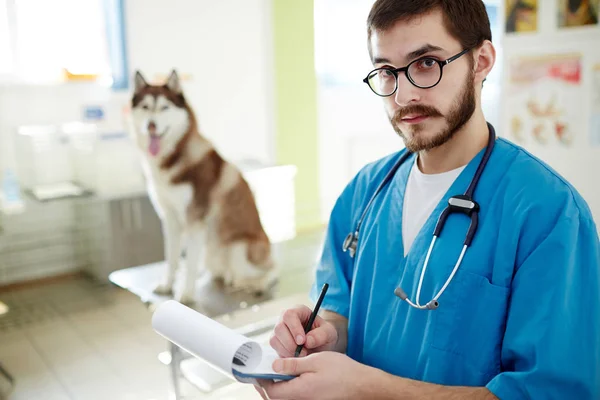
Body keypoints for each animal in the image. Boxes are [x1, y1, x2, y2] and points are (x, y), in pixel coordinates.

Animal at [128, 70, 276, 304]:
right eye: (145, 107)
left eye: (164, 107)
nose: (151, 125)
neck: (173, 158)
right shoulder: (170, 219)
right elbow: (171, 258)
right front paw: (167, 284)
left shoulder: (195, 220)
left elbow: (188, 263)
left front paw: (187, 294)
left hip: (237, 250)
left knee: (271, 270)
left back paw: (257, 284)